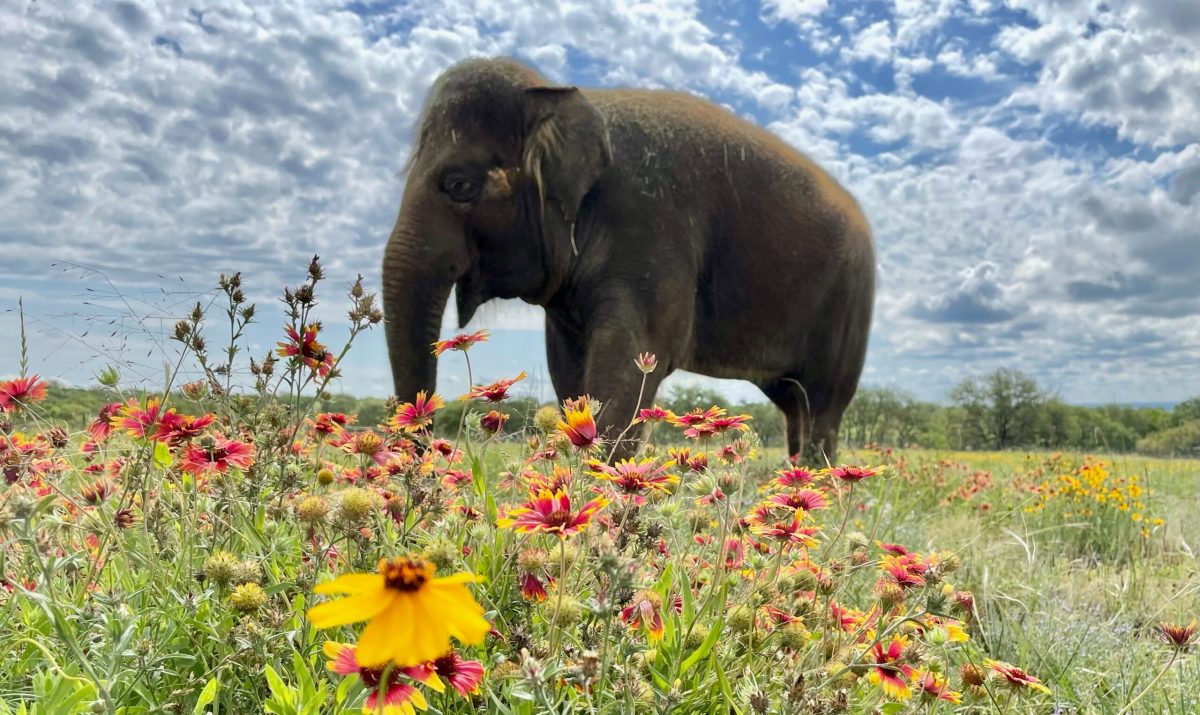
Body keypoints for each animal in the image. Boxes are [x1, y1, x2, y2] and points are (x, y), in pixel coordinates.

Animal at [382, 56, 875, 464]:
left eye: (459, 185)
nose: (424, 457)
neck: (561, 95)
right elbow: (568, 368)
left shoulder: (653, 229)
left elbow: (634, 359)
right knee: (794, 403)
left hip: (849, 303)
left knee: (822, 402)